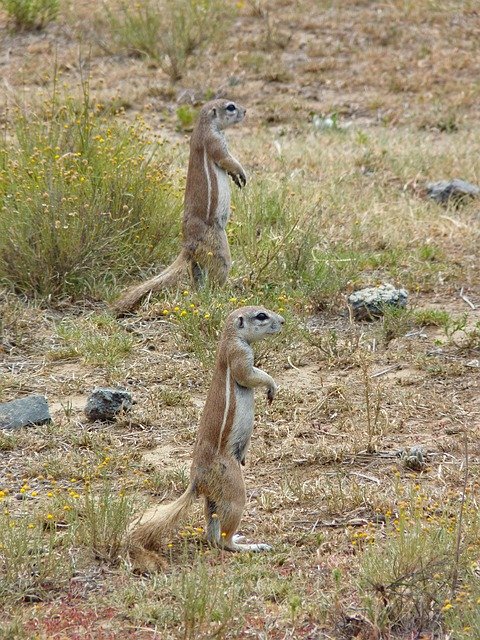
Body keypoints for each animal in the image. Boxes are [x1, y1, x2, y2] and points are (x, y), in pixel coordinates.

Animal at [112, 99, 248, 316]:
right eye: (231, 107)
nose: (245, 111)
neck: (205, 125)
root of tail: (187, 245)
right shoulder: (215, 143)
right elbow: (227, 159)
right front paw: (241, 172)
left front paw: (237, 178)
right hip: (219, 248)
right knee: (217, 272)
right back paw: (224, 292)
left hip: (197, 263)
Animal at [128, 306, 284, 568]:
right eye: (261, 316)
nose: (282, 321)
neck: (229, 337)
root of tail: (197, 480)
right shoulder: (240, 355)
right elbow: (251, 375)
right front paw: (272, 386)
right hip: (234, 490)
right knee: (223, 539)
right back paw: (247, 545)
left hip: (212, 500)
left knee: (212, 531)